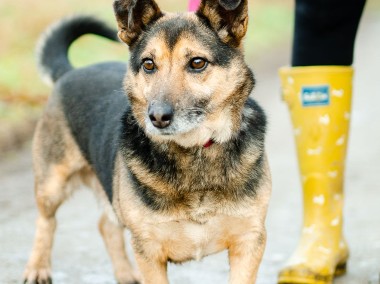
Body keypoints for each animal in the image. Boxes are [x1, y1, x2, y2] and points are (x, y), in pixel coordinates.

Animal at [23, 1, 272, 282]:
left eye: (197, 62)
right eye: (149, 64)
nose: (157, 117)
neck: (194, 150)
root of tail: (71, 72)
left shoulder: (249, 240)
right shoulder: (149, 249)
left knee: (105, 225)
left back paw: (124, 274)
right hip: (52, 185)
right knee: (46, 222)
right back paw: (37, 267)